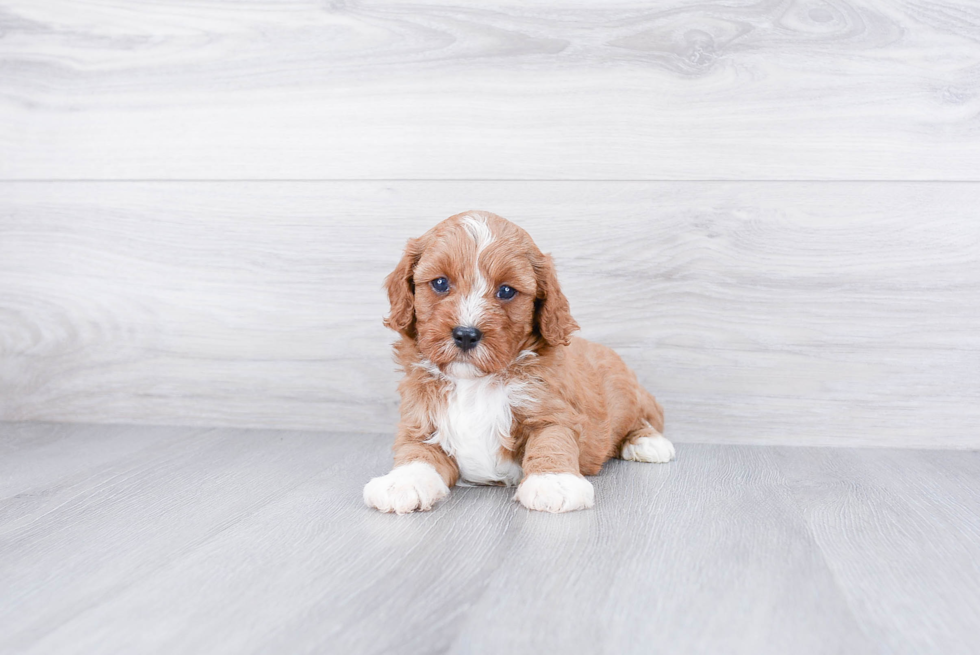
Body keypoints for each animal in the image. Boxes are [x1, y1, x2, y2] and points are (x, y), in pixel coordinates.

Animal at [362, 213, 672, 516]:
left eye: (507, 291)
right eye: (440, 283)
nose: (466, 334)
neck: (473, 383)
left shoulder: (553, 410)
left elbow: (552, 438)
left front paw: (553, 481)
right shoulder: (419, 421)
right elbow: (416, 452)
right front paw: (403, 482)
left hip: (629, 394)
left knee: (645, 417)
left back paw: (648, 442)